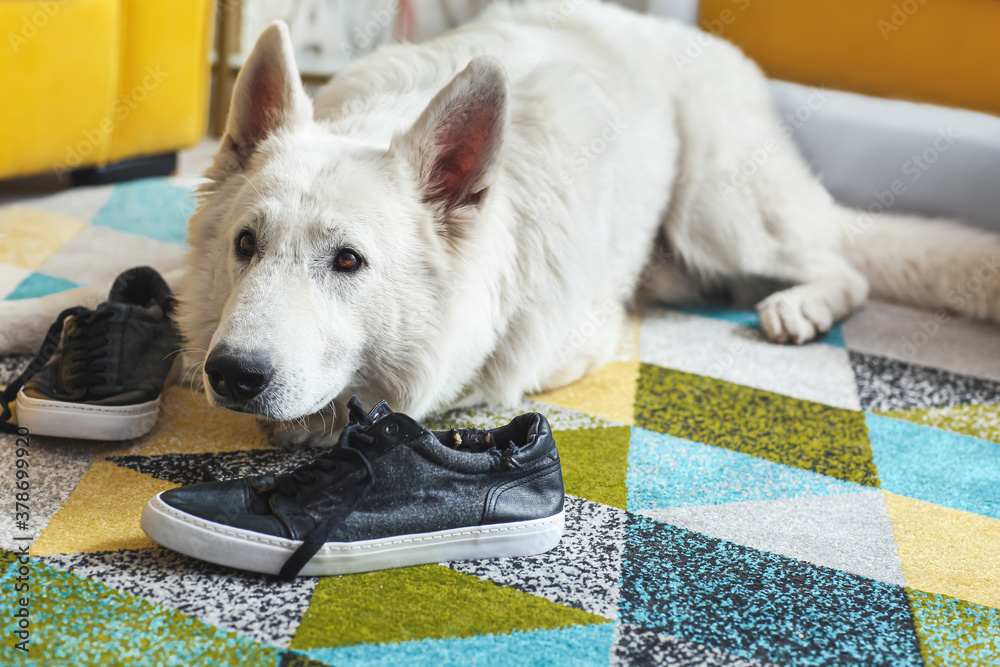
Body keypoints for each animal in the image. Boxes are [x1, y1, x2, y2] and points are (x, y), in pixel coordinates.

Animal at [1, 2, 1000, 446]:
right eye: (246, 246)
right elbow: (101, 293)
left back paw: (800, 306)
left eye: (349, 261)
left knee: (843, 261)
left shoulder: (560, 343)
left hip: (720, 207)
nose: (232, 376)